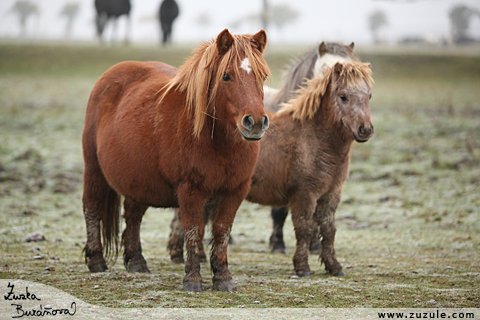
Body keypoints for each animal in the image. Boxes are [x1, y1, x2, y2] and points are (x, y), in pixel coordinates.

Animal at [80, 28, 272, 292]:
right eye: (226, 76)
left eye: (262, 76)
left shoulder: (236, 190)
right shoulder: (189, 189)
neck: (217, 142)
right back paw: (97, 260)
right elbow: (193, 230)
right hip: (94, 170)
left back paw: (137, 261)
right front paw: (193, 279)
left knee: (133, 216)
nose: (255, 122)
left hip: (139, 181)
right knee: (92, 208)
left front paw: (223, 277)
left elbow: (222, 231)